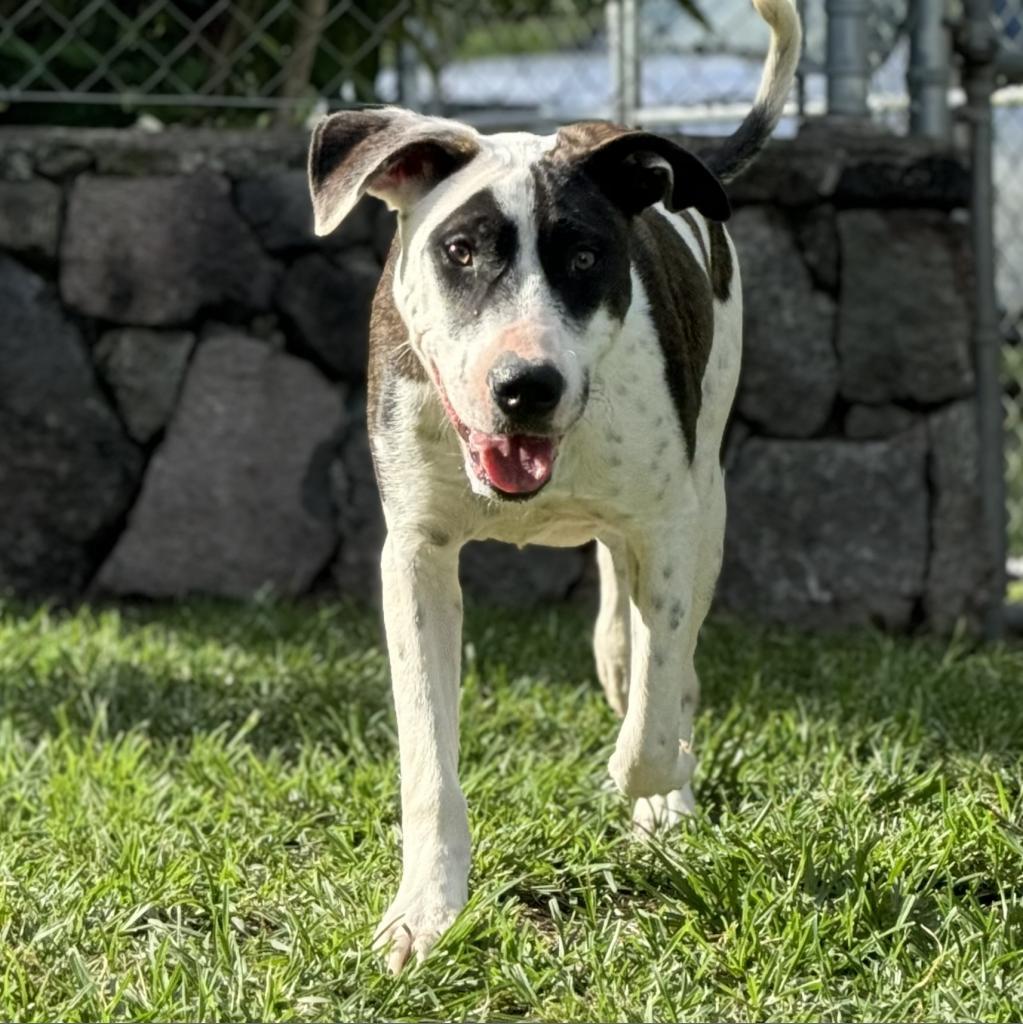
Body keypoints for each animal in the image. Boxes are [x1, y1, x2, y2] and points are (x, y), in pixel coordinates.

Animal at [307, 0, 802, 970]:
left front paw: (655, 785)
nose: (525, 386)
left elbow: (655, 707)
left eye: (582, 257)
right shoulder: (415, 557)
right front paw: (423, 912)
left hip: (708, 495)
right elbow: (428, 755)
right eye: (460, 250)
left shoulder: (670, 528)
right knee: (622, 627)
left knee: (656, 648)